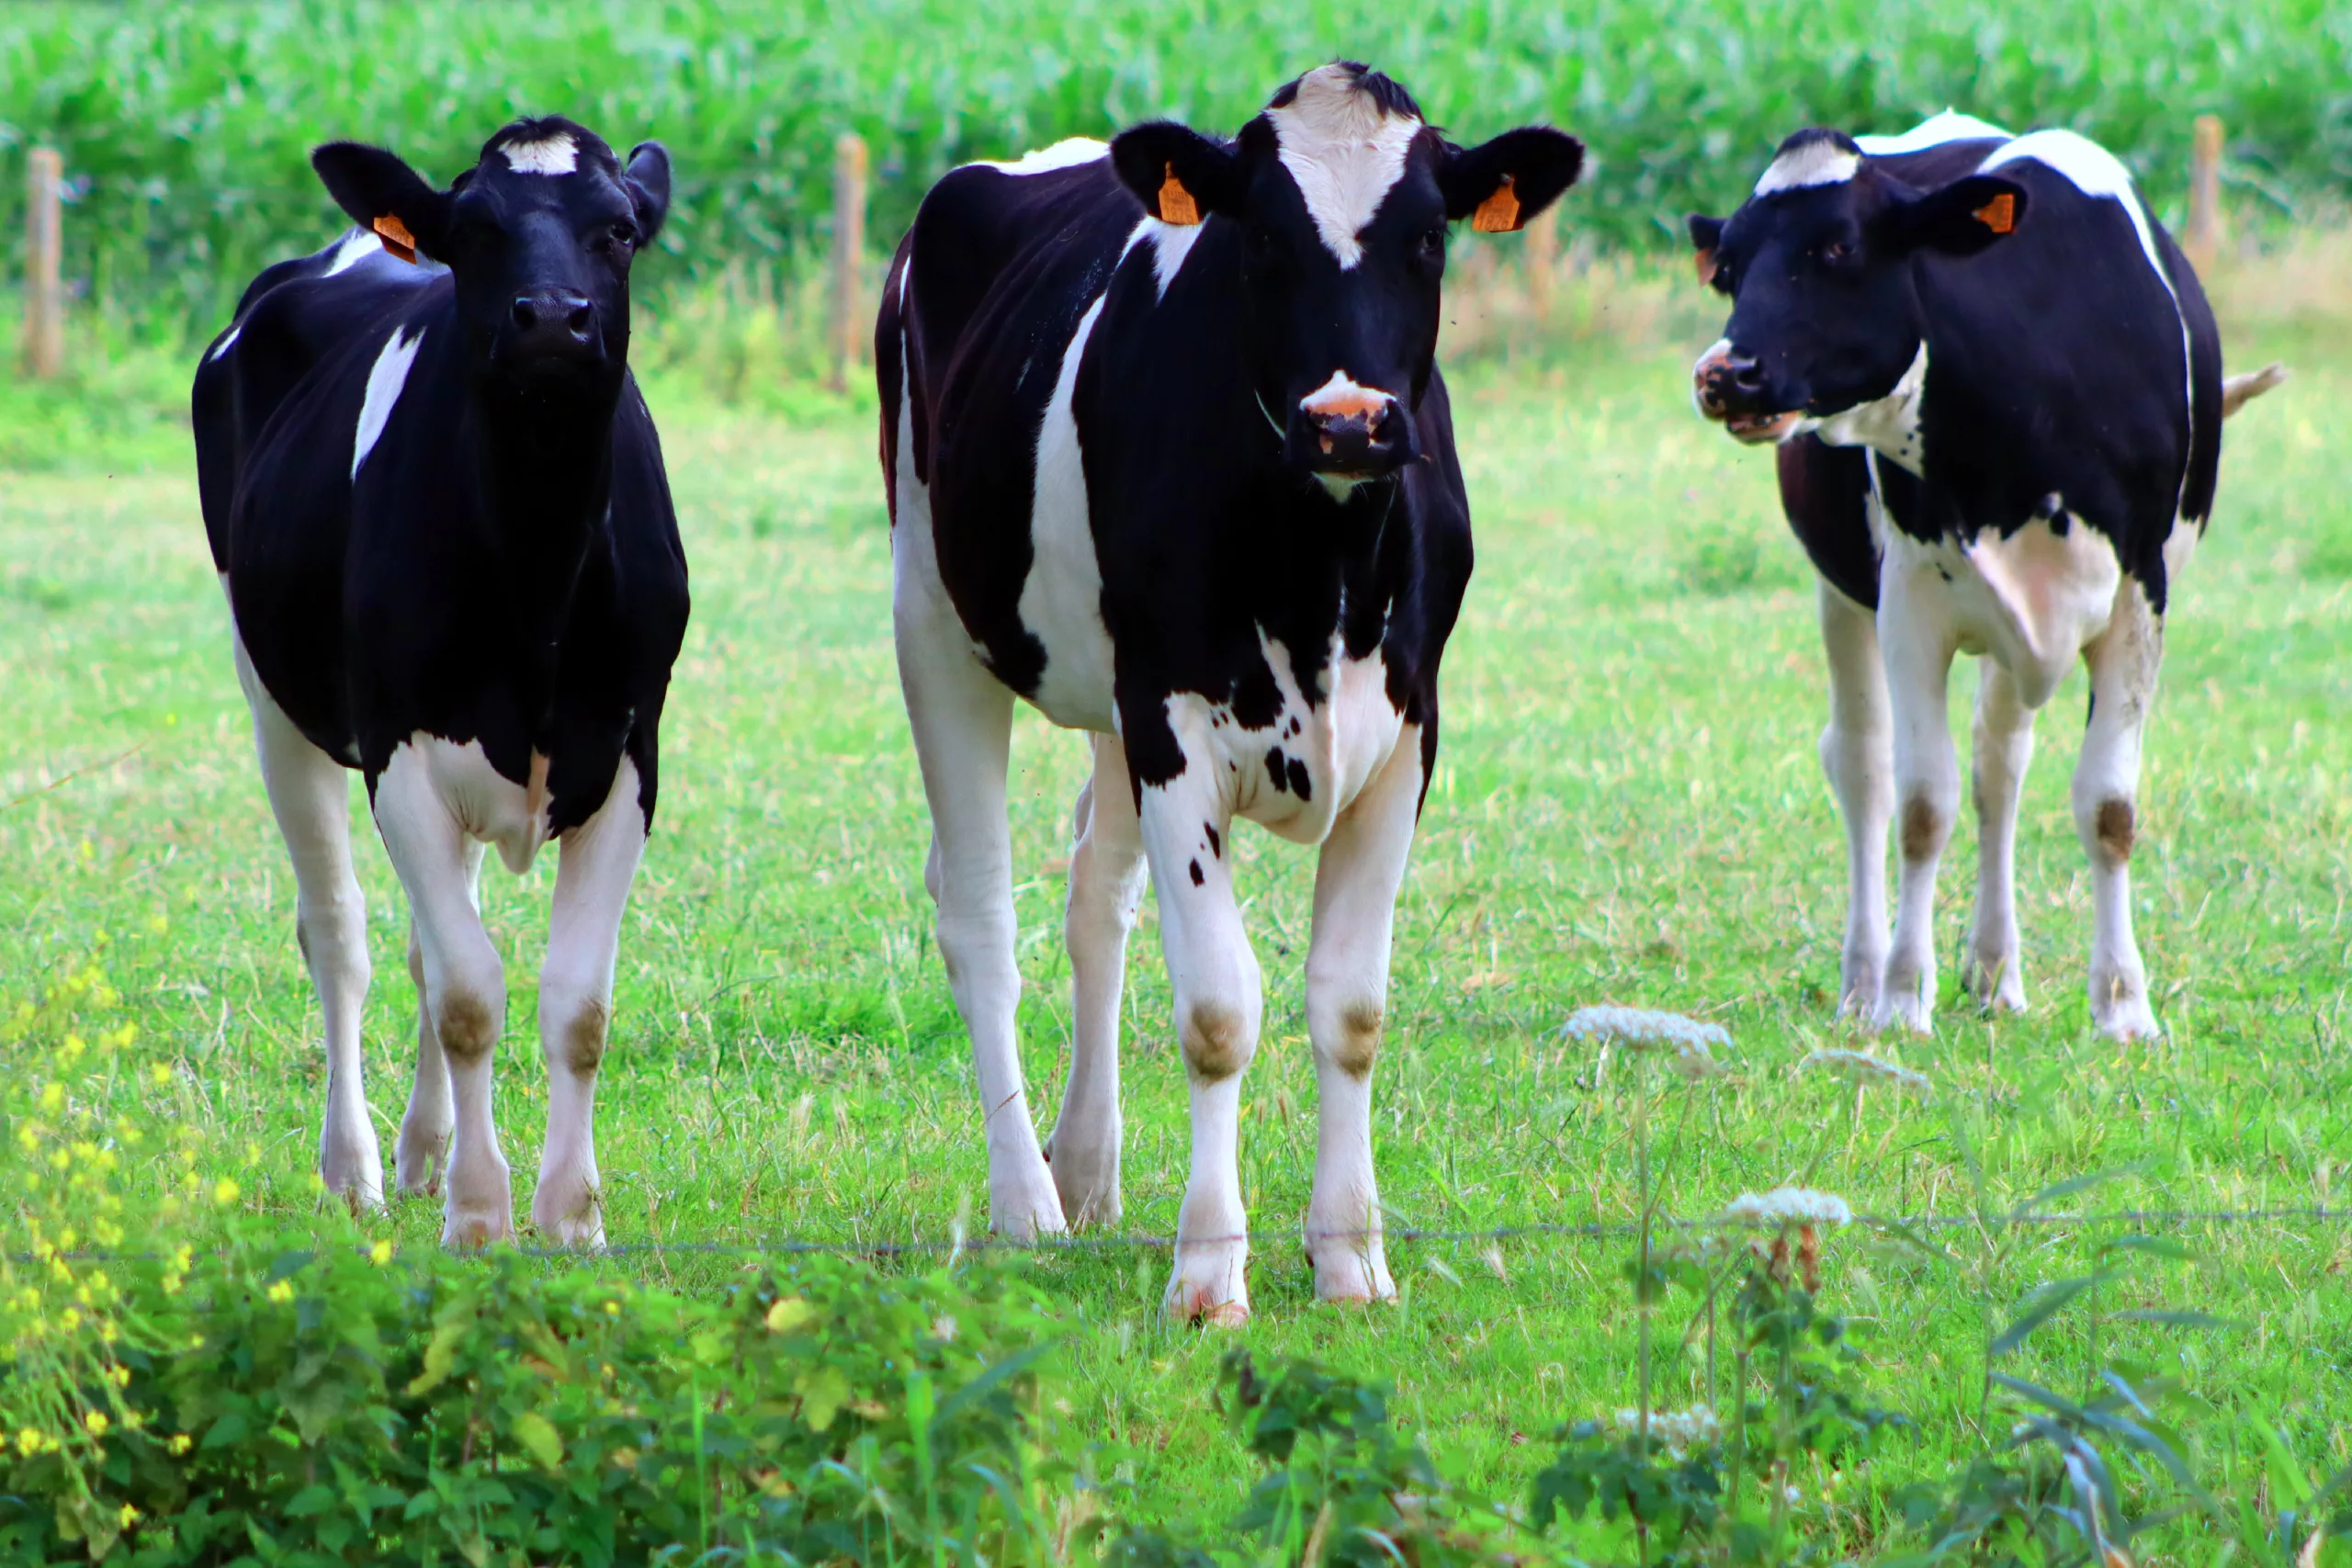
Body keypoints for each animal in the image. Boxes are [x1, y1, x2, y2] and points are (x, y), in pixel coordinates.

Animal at [195, 116, 686, 1250]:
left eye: (618, 228)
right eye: (474, 232)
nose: (551, 317)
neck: (540, 573)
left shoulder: (627, 757)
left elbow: (575, 1003)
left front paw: (572, 1215)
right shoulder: (402, 757)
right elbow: (469, 994)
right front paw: (480, 1214)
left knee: (424, 942)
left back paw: (421, 1149)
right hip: (274, 702)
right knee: (340, 934)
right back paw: (357, 1168)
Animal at [884, 61, 1580, 1316]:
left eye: (1427, 236)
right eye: (1258, 236)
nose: (1348, 420)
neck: (1321, 574)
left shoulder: (1407, 736)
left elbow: (1350, 1007)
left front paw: (1351, 1255)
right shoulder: (1174, 729)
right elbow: (1217, 1011)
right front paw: (1209, 1271)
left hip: (1107, 702)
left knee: (1093, 899)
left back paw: (1087, 1168)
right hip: (934, 622)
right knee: (978, 915)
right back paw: (1027, 1203)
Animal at [1693, 113, 2277, 1043]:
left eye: (1838, 246)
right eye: (1728, 269)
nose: (1724, 375)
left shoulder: (2138, 595)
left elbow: (2107, 806)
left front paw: (2124, 1006)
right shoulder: (1908, 607)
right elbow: (1920, 807)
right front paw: (1903, 996)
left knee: (1999, 767)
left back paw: (1998, 972)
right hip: (1843, 594)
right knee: (1863, 765)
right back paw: (1863, 979)